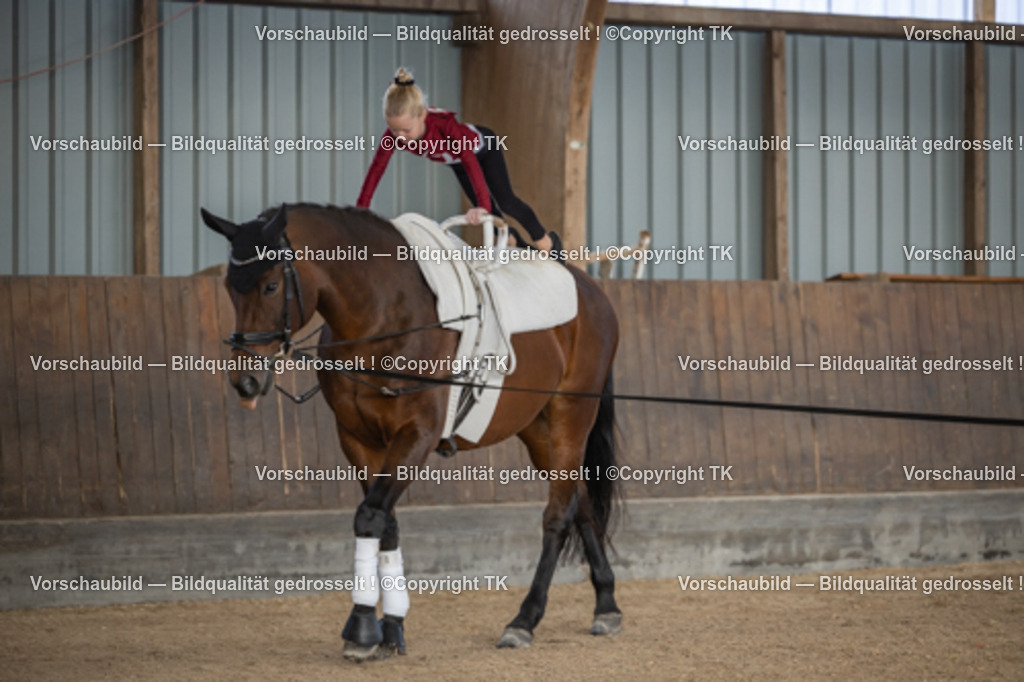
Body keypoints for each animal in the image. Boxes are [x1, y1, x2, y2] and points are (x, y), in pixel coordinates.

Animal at [201, 203, 622, 660]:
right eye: (229, 287)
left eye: (271, 285)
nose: (245, 381)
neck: (380, 318)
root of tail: (591, 289)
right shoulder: (358, 439)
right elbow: (386, 522)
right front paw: (392, 629)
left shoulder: (416, 435)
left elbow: (370, 515)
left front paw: (362, 628)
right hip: (536, 428)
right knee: (580, 501)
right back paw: (607, 605)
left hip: (570, 415)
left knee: (558, 514)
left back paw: (524, 620)